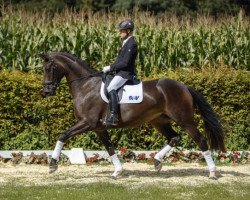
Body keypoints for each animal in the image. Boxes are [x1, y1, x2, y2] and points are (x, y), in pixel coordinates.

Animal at [39, 51, 225, 178]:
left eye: (50, 68)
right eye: (43, 69)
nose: (47, 91)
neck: (86, 85)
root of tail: (184, 86)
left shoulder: (88, 123)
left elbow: (63, 135)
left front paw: (53, 164)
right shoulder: (99, 128)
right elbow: (110, 148)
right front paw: (117, 172)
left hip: (185, 120)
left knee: (201, 140)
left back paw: (212, 172)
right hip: (159, 121)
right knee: (174, 137)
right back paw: (157, 162)